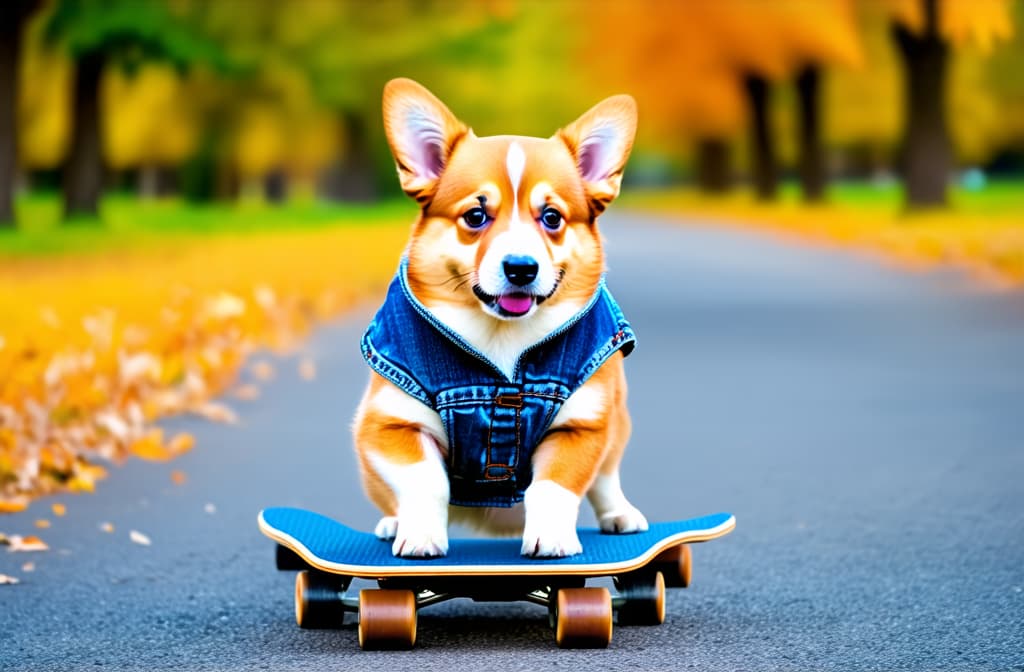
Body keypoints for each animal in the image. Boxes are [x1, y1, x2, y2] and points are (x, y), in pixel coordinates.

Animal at [348, 77, 643, 557]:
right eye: (475, 215)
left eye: (552, 217)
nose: (521, 267)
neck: (503, 339)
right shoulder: (389, 423)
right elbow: (426, 480)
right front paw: (421, 536)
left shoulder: (583, 426)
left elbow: (554, 486)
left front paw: (551, 538)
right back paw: (394, 522)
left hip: (617, 427)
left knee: (605, 478)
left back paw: (621, 515)